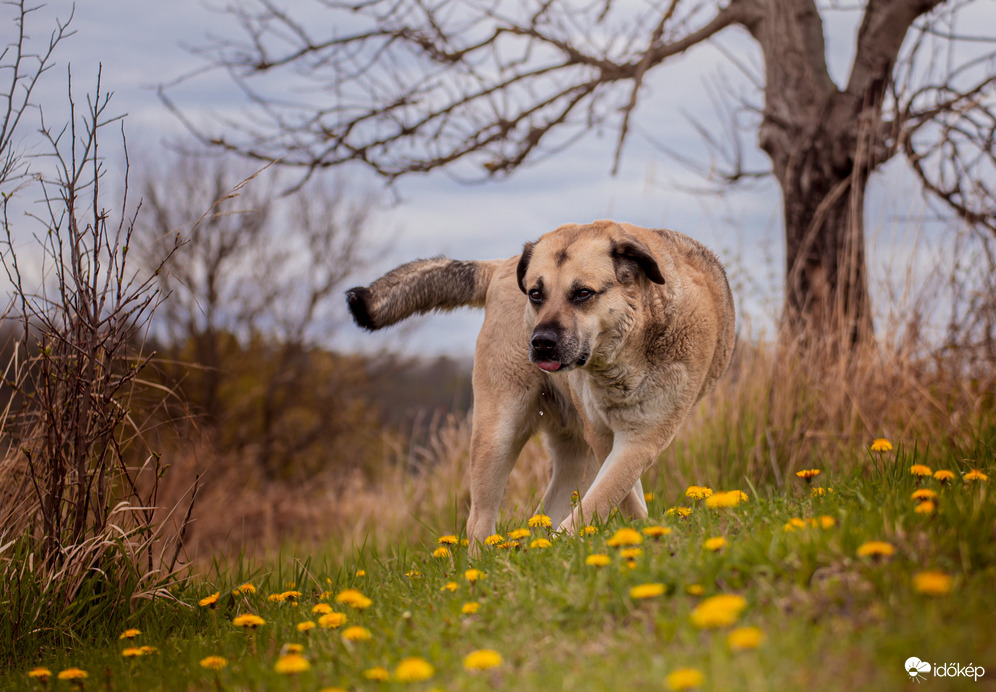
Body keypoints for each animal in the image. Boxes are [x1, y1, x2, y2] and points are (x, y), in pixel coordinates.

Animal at [346, 220, 736, 548]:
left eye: (582, 293)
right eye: (536, 294)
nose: (541, 342)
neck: (626, 351)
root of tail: (501, 265)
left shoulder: (644, 436)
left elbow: (609, 492)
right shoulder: (605, 436)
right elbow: (614, 495)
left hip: (574, 451)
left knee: (545, 509)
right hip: (498, 432)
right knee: (479, 521)